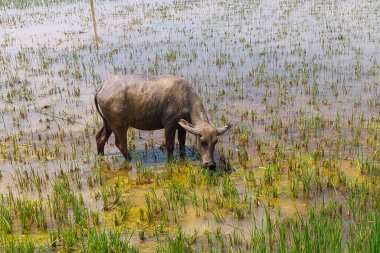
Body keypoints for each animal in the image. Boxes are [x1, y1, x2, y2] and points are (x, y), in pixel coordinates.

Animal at [95, 74, 232, 169]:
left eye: (215, 141)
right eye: (202, 141)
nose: (211, 165)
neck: (184, 97)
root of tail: (102, 87)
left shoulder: (181, 126)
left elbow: (182, 144)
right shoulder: (169, 124)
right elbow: (170, 145)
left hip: (108, 123)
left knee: (100, 138)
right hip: (119, 125)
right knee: (121, 144)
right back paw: (131, 160)